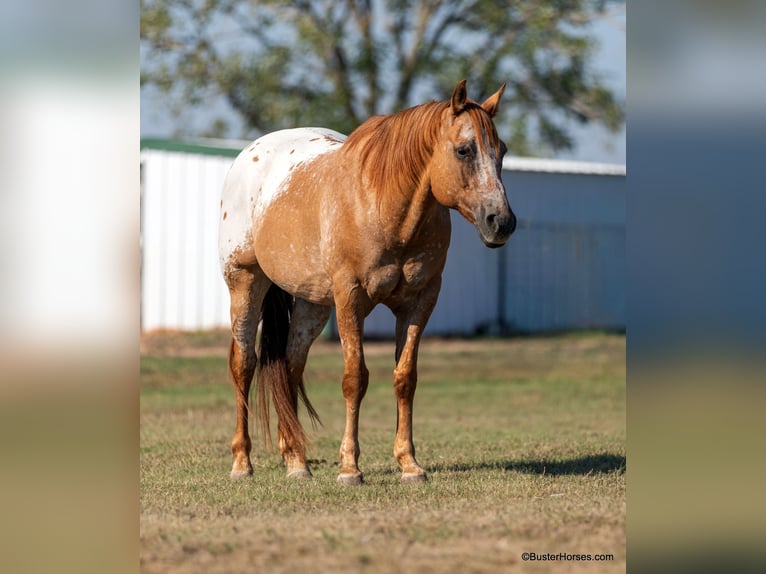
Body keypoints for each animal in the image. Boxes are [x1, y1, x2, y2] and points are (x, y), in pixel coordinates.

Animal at [219, 80, 516, 485]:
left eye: (502, 151)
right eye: (464, 149)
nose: (501, 222)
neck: (384, 206)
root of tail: (250, 153)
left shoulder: (420, 301)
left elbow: (405, 378)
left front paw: (409, 464)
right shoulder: (351, 299)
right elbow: (354, 378)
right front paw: (350, 468)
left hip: (312, 303)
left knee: (290, 366)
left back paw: (296, 462)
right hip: (245, 282)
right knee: (244, 364)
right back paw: (242, 463)